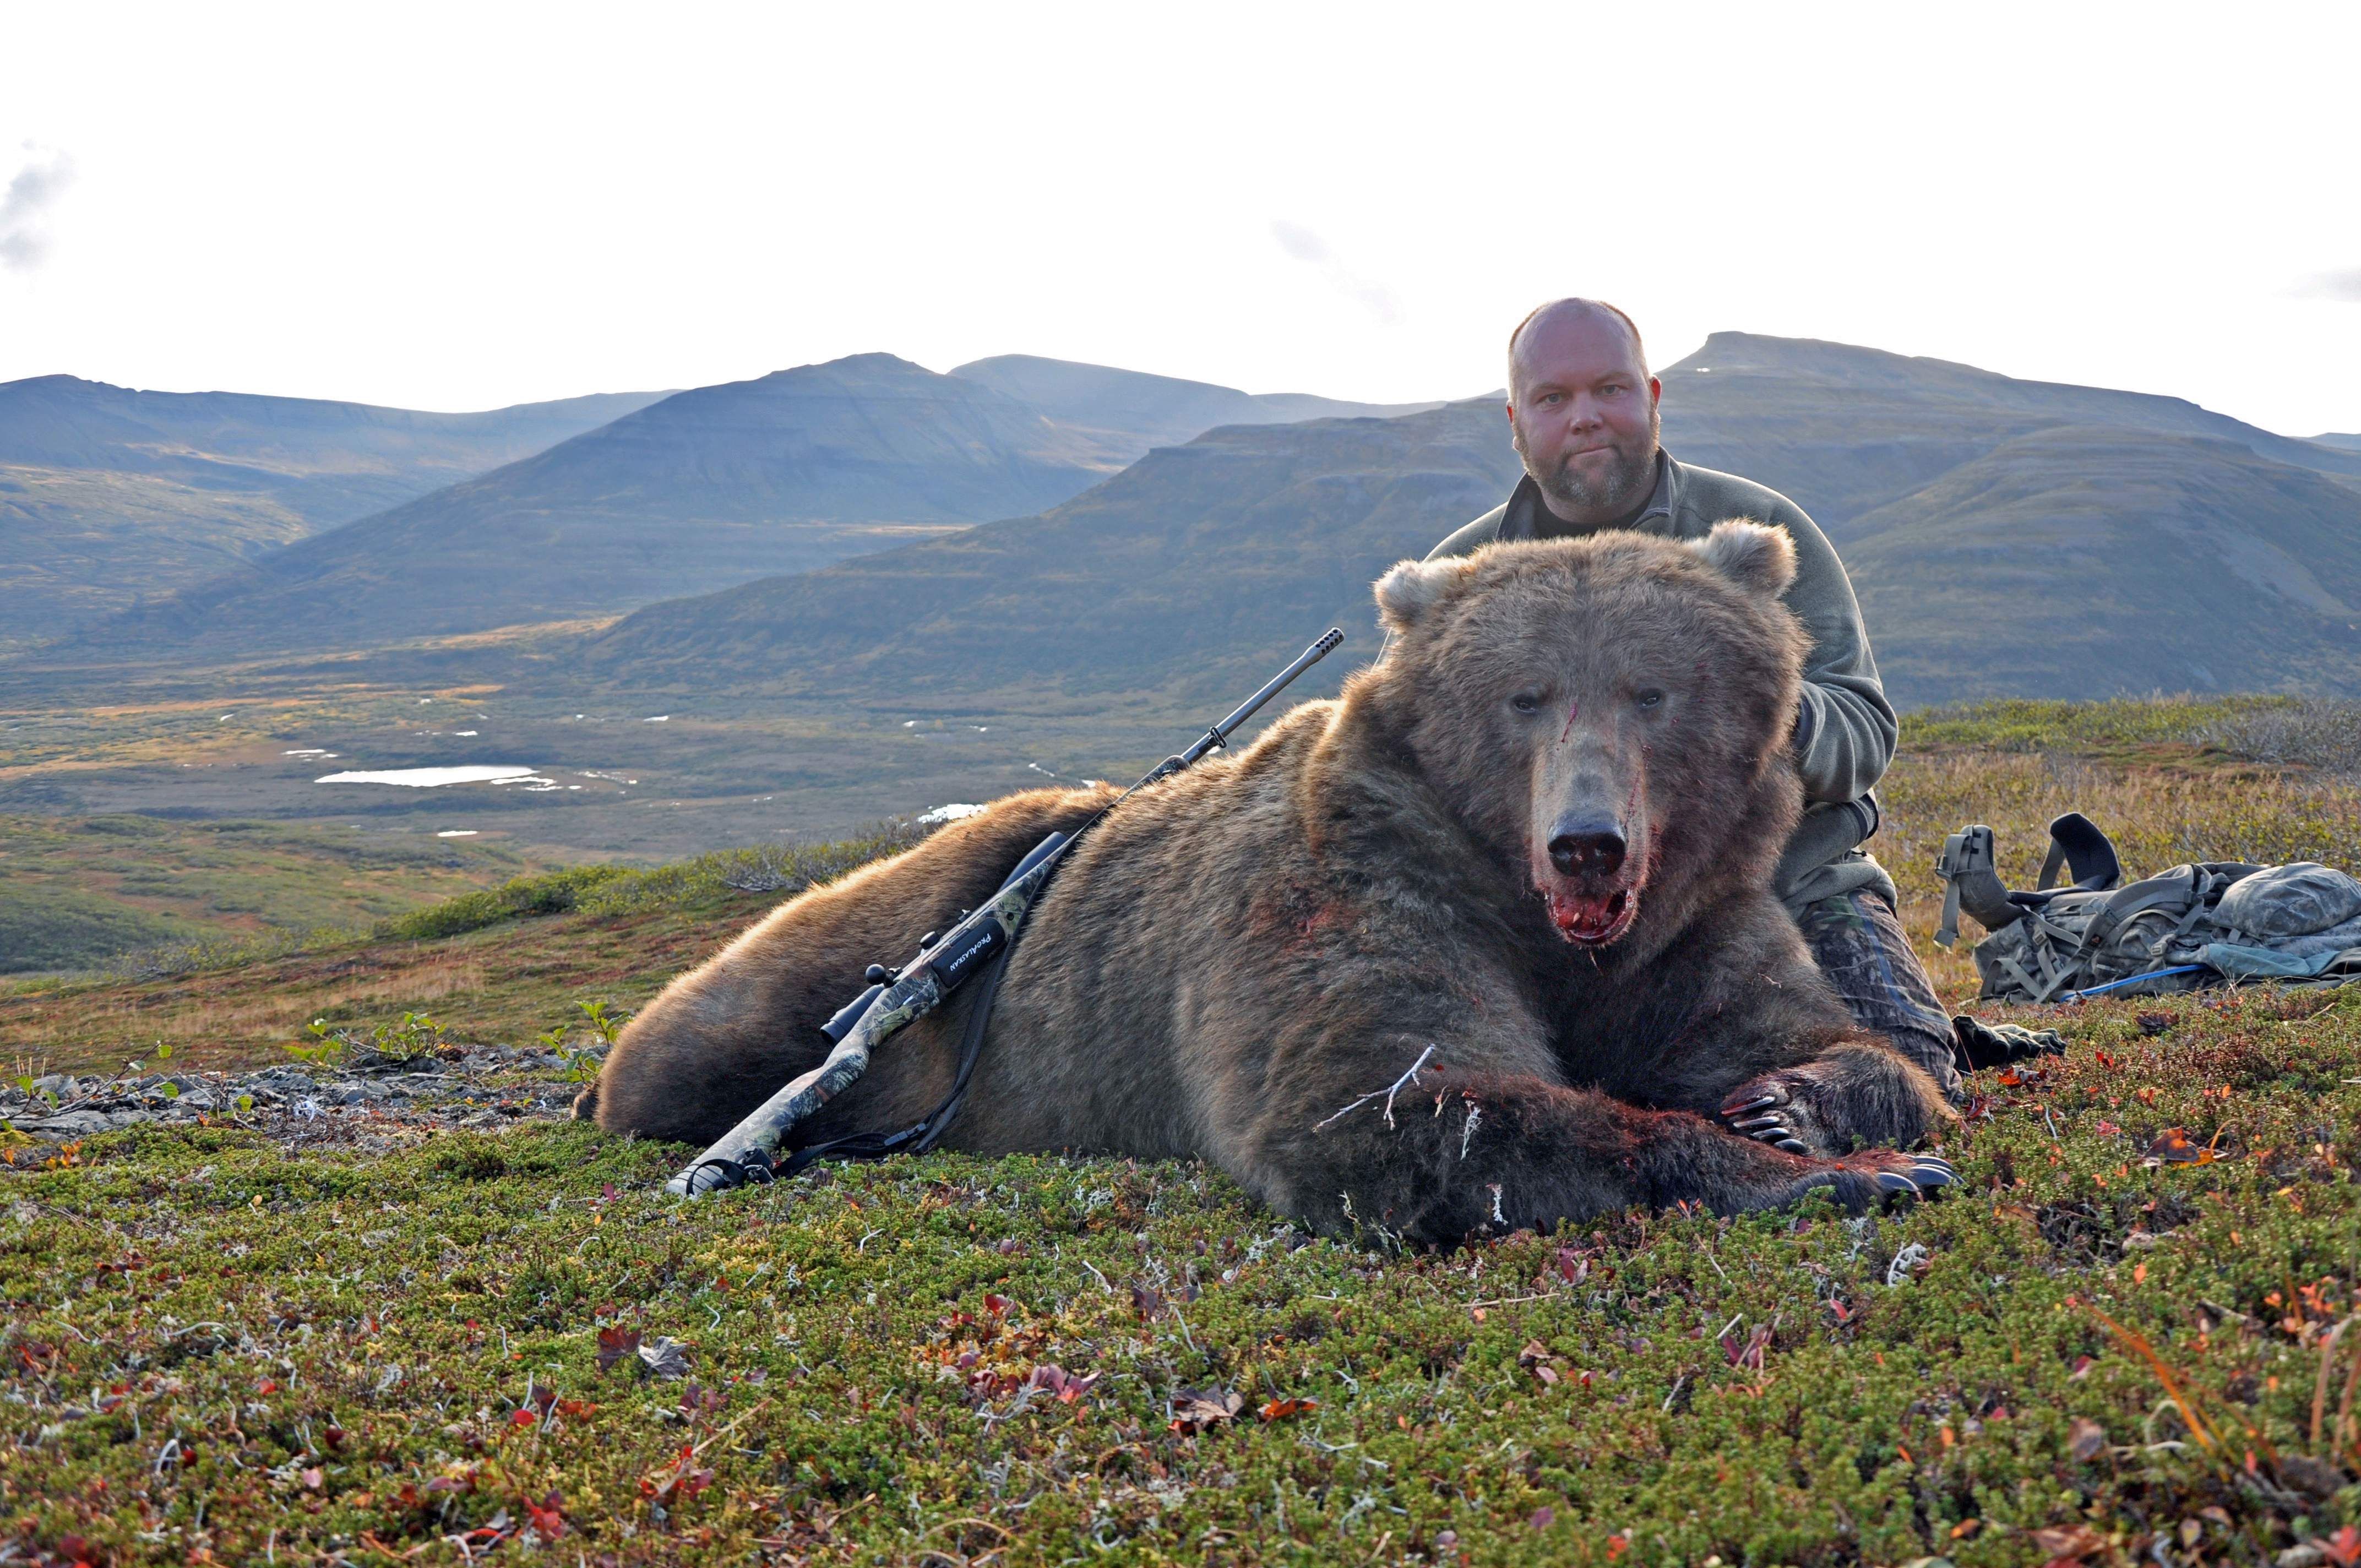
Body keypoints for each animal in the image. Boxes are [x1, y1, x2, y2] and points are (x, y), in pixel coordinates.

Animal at [580, 519, 1945, 1246]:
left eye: (1650, 688)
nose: (1586, 841)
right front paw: (1838, 1174)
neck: (1550, 929)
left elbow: (1843, 1043)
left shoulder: (1692, 919)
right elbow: (1394, 1098)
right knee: (703, 1041)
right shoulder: (1350, 881)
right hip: (882, 931)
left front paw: (1795, 1105)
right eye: (1525, 695)